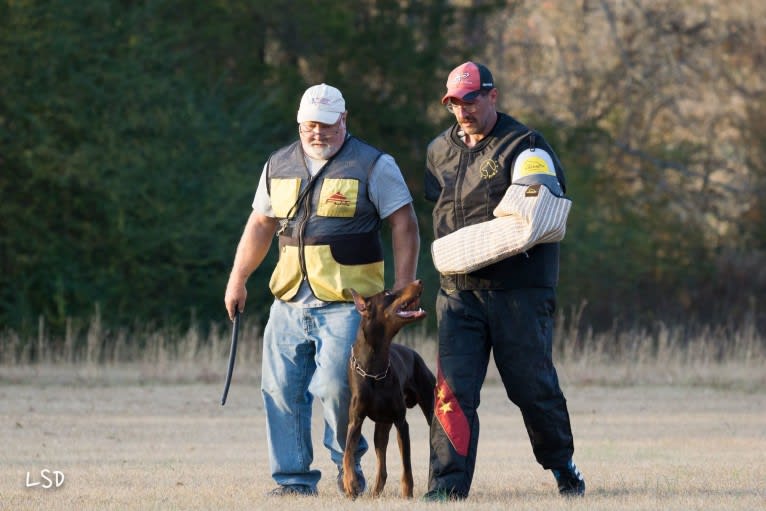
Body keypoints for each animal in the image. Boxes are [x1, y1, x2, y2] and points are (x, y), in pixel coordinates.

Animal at [344, 280, 436, 500]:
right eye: (387, 294)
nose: (419, 281)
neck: (374, 368)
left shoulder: (401, 422)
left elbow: (406, 466)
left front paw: (407, 494)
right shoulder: (355, 420)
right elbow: (347, 453)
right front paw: (350, 484)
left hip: (428, 407)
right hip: (382, 426)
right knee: (382, 464)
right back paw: (374, 492)